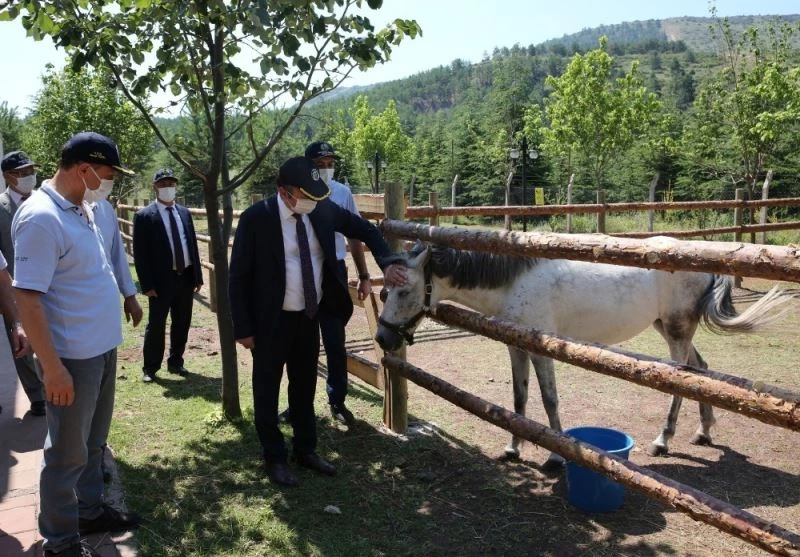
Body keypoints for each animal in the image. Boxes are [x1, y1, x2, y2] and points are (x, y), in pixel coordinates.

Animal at [375, 241, 793, 470]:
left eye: (403, 291)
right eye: (384, 290)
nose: (382, 338)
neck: (513, 281)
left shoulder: (540, 348)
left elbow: (549, 400)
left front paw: (557, 457)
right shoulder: (515, 345)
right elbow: (519, 399)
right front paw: (513, 448)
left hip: (676, 331)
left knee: (681, 381)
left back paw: (662, 441)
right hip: (668, 327)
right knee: (700, 370)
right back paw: (703, 432)